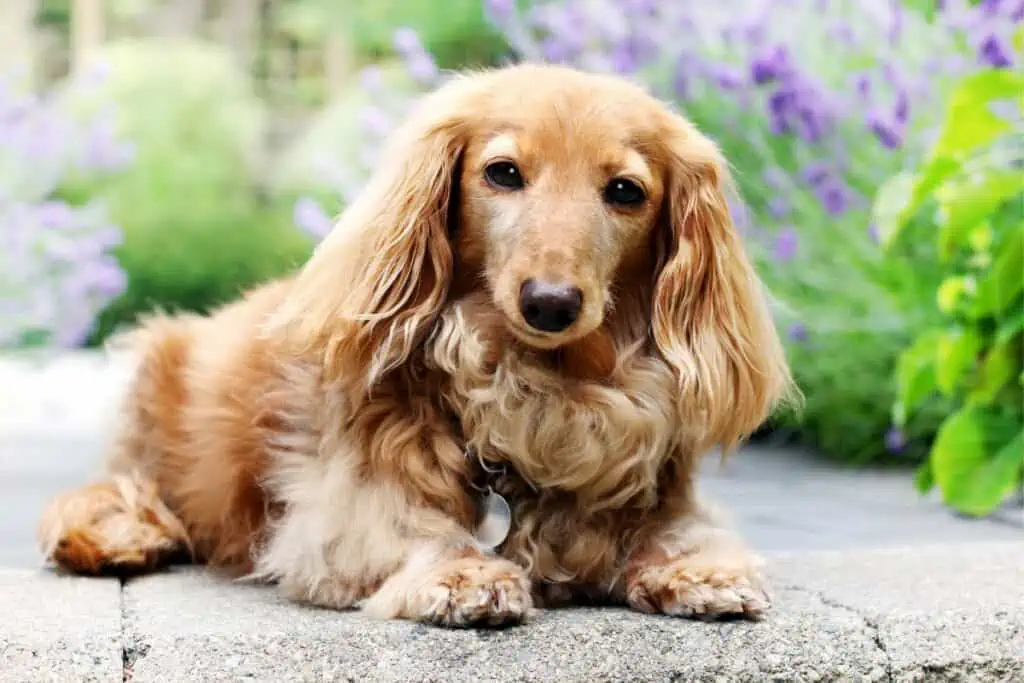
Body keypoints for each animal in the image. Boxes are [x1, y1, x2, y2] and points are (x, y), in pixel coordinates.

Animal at [36, 65, 794, 630]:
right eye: (504, 172)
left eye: (626, 191)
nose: (550, 303)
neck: (542, 386)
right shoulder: (341, 515)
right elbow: (410, 528)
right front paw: (464, 572)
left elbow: (673, 529)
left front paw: (696, 566)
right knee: (108, 494)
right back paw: (125, 537)